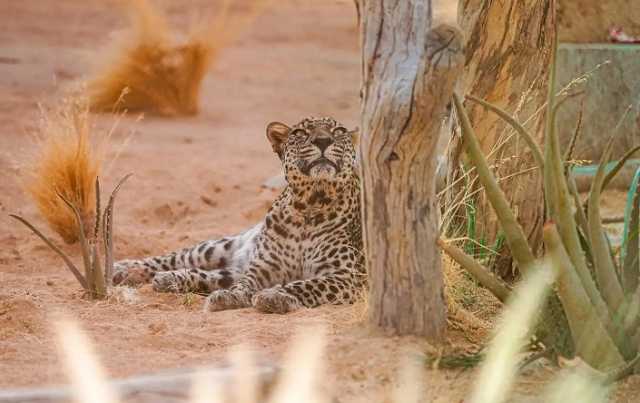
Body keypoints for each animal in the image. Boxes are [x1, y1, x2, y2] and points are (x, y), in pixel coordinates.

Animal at [112, 117, 364, 316]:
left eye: (338, 131)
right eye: (300, 133)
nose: (323, 141)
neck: (309, 205)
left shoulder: (349, 276)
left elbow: (307, 284)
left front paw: (275, 296)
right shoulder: (264, 268)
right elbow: (244, 284)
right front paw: (232, 296)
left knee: (213, 275)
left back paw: (167, 279)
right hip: (218, 247)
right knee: (178, 257)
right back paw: (125, 269)